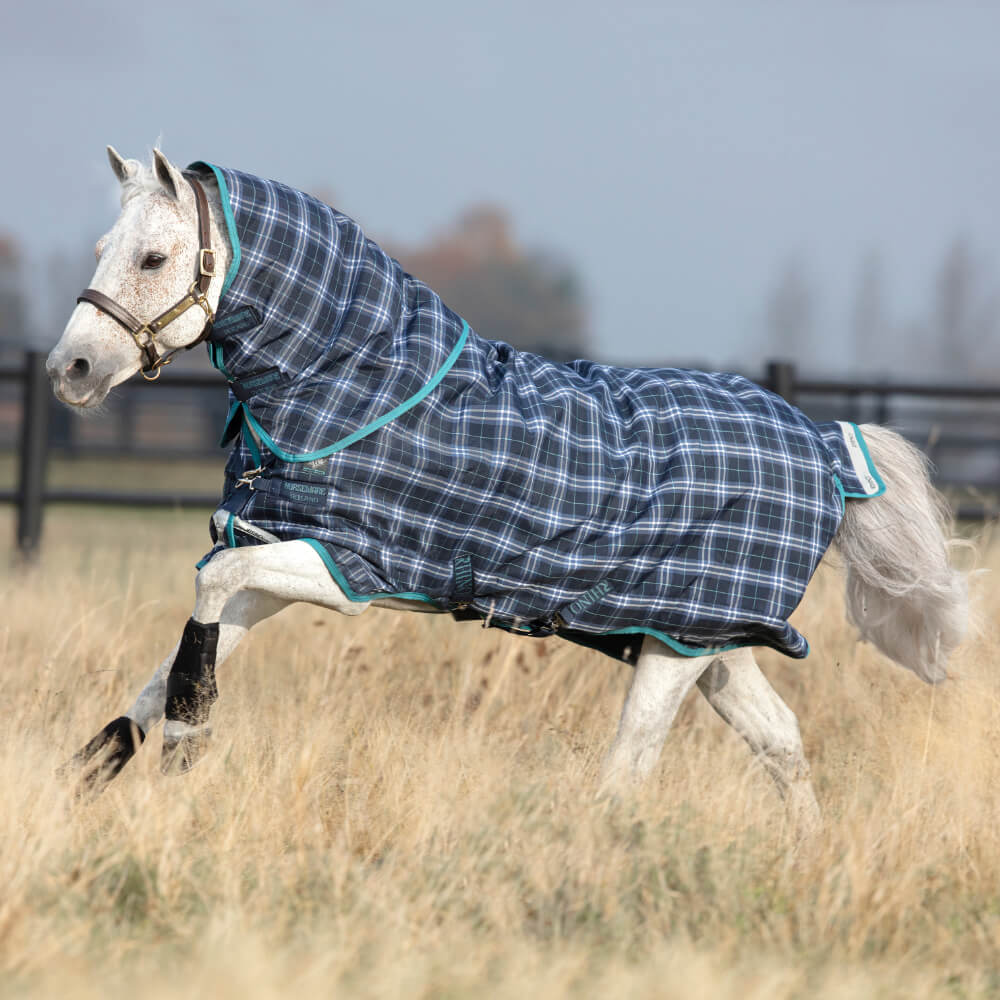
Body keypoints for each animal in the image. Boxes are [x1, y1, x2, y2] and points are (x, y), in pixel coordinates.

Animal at [46, 147, 968, 830]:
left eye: (154, 257)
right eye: (100, 252)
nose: (71, 370)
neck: (361, 386)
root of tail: (823, 442)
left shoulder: (344, 569)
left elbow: (204, 605)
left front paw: (189, 744)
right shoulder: (277, 558)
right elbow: (166, 663)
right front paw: (75, 786)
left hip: (679, 646)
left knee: (630, 768)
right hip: (704, 641)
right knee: (779, 741)